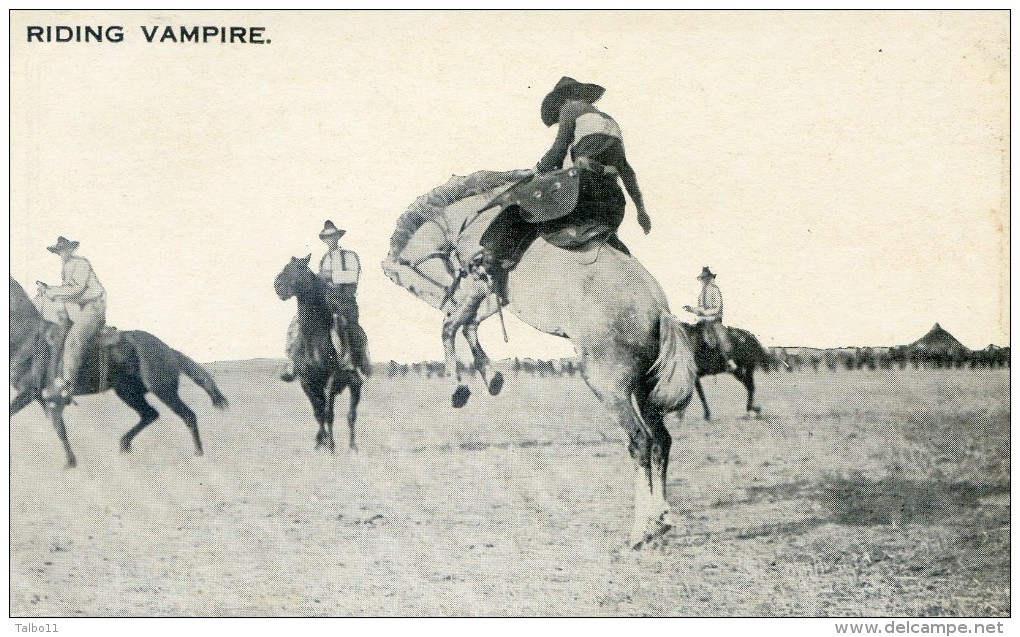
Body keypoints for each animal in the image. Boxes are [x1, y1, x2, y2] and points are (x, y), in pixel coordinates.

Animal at [9, 275, 226, 464]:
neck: (27, 338)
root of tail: (168, 349)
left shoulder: (30, 394)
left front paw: (70, 463)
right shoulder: (42, 398)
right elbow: (59, 428)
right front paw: (71, 463)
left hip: (163, 390)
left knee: (188, 415)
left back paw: (198, 455)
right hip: (128, 392)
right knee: (150, 414)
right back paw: (124, 447)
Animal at [273, 254, 365, 452]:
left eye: (300, 268)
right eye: (286, 266)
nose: (278, 286)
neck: (315, 338)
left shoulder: (331, 380)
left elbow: (328, 413)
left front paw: (330, 445)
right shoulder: (307, 382)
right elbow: (318, 412)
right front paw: (319, 442)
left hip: (355, 385)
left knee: (351, 414)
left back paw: (353, 446)